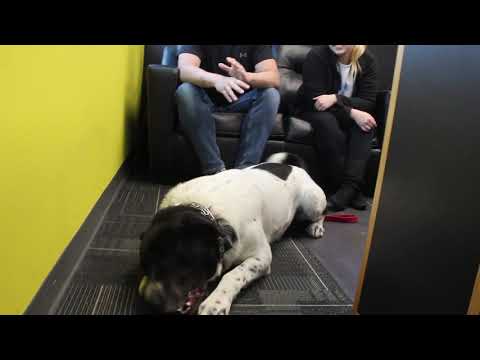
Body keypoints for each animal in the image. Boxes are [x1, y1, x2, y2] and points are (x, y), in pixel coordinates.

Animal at [137, 153, 328, 316]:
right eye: (145, 265)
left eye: (175, 259)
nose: (151, 303)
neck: (209, 211)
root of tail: (294, 166)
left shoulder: (261, 257)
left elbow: (233, 275)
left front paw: (216, 302)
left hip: (312, 203)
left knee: (323, 213)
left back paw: (316, 227)